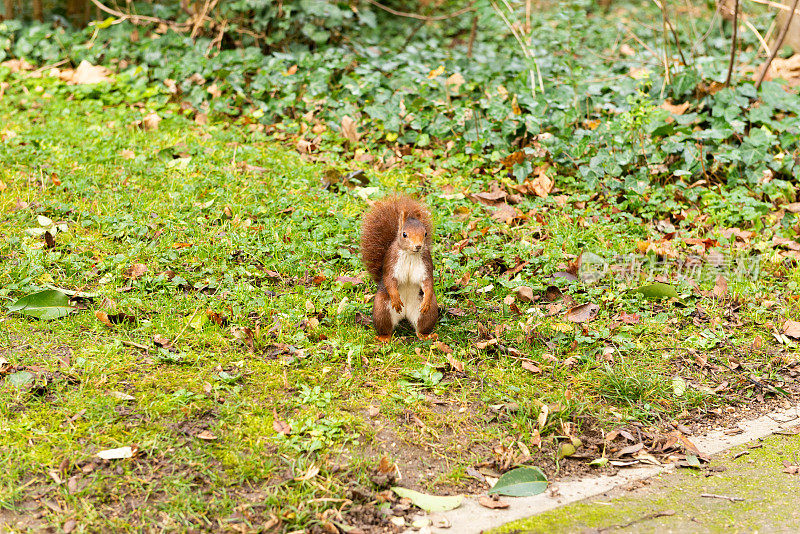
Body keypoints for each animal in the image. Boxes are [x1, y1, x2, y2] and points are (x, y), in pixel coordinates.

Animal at [360, 197, 438, 344]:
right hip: (382, 310)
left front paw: (426, 300)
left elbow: (428, 282)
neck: (410, 254)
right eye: (404, 234)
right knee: (386, 327)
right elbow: (390, 280)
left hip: (427, 314)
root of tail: (405, 314)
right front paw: (396, 299)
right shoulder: (391, 263)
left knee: (421, 327)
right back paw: (384, 337)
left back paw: (425, 335)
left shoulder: (425, 263)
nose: (418, 246)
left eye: (425, 233)